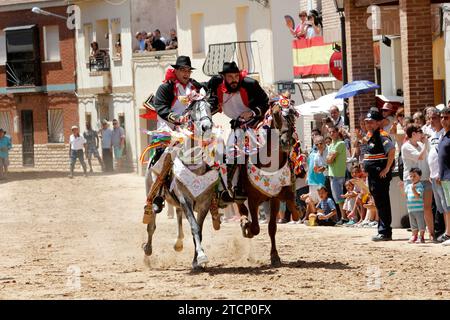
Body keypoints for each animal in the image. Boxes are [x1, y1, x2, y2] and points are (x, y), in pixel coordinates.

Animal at [236, 97, 302, 268]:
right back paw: (244, 222)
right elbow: (255, 228)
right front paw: (248, 227)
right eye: (277, 113)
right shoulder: (253, 199)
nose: (287, 141)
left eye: (293, 113)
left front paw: (275, 256)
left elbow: (272, 227)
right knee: (241, 208)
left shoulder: (275, 198)